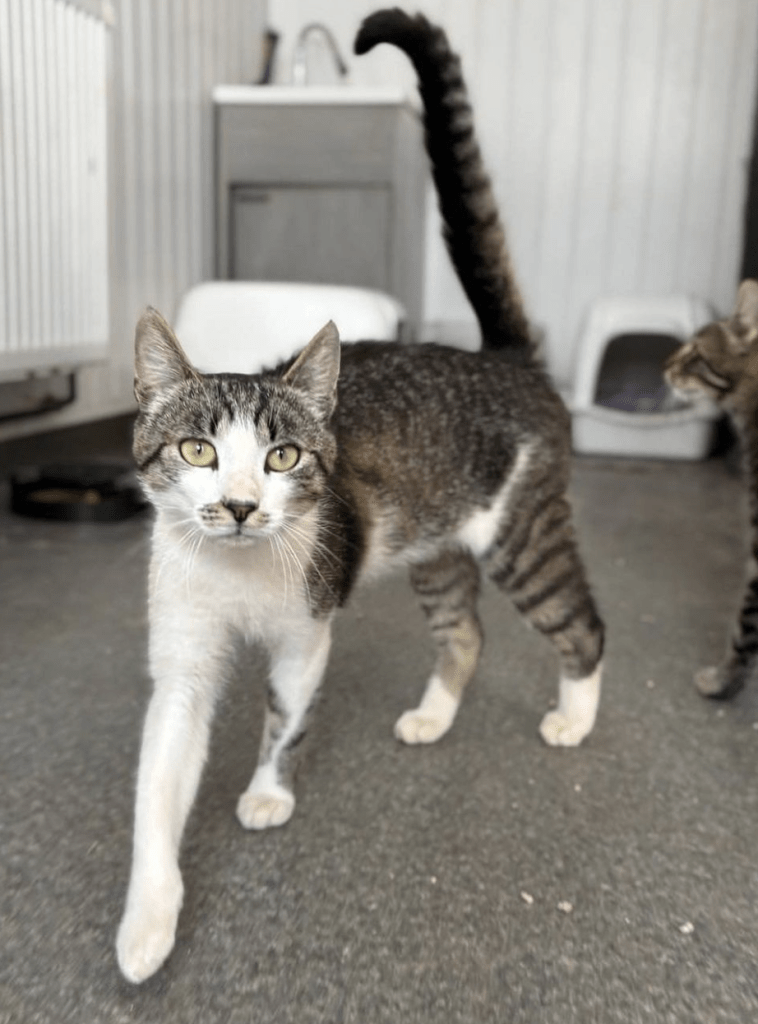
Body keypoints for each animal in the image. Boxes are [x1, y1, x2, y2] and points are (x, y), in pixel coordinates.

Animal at [116, 8, 602, 983]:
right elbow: (160, 783)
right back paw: (435, 714)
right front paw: (147, 924)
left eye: (283, 457)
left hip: (522, 535)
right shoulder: (183, 655)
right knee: (467, 631)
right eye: (196, 449)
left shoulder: (307, 631)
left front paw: (268, 793)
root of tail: (507, 359)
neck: (237, 576)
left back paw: (575, 716)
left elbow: (284, 718)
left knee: (583, 623)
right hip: (437, 552)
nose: (238, 506)